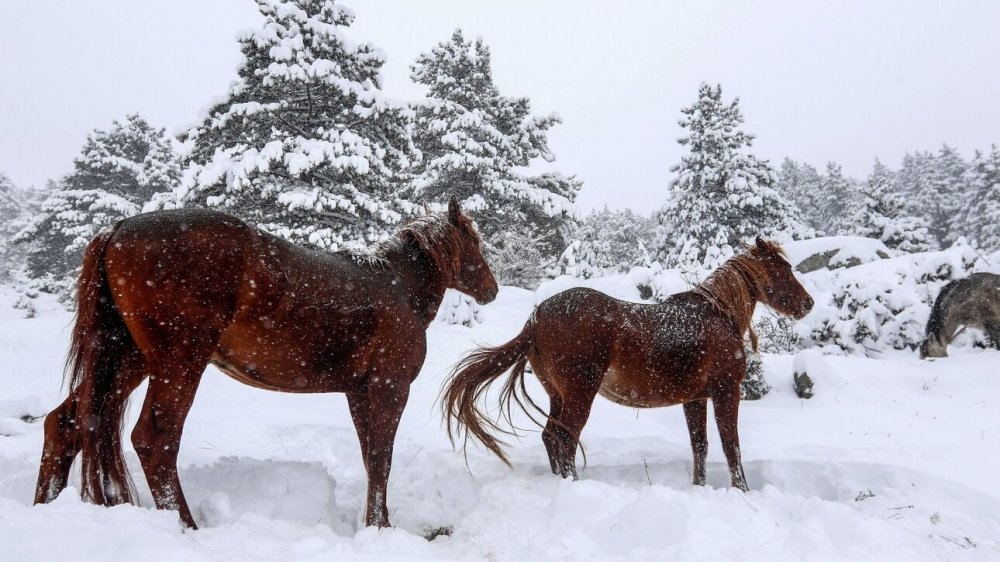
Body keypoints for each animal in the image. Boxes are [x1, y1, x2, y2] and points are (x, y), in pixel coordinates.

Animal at [33, 196, 498, 524]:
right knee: (155, 439)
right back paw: (186, 526)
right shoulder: (389, 389)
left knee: (67, 424)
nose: (491, 289)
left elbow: (371, 459)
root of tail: (117, 229)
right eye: (473, 241)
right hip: (178, 362)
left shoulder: (359, 392)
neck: (396, 285)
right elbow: (381, 460)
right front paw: (380, 527)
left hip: (126, 360)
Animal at [444, 238, 812, 488]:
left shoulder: (695, 400)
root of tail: (535, 319)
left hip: (558, 395)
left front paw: (700, 487)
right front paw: (741, 490)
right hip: (579, 394)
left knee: (551, 437)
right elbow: (731, 447)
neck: (717, 315)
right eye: (783, 269)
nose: (807, 303)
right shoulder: (726, 392)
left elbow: (701, 447)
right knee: (565, 440)